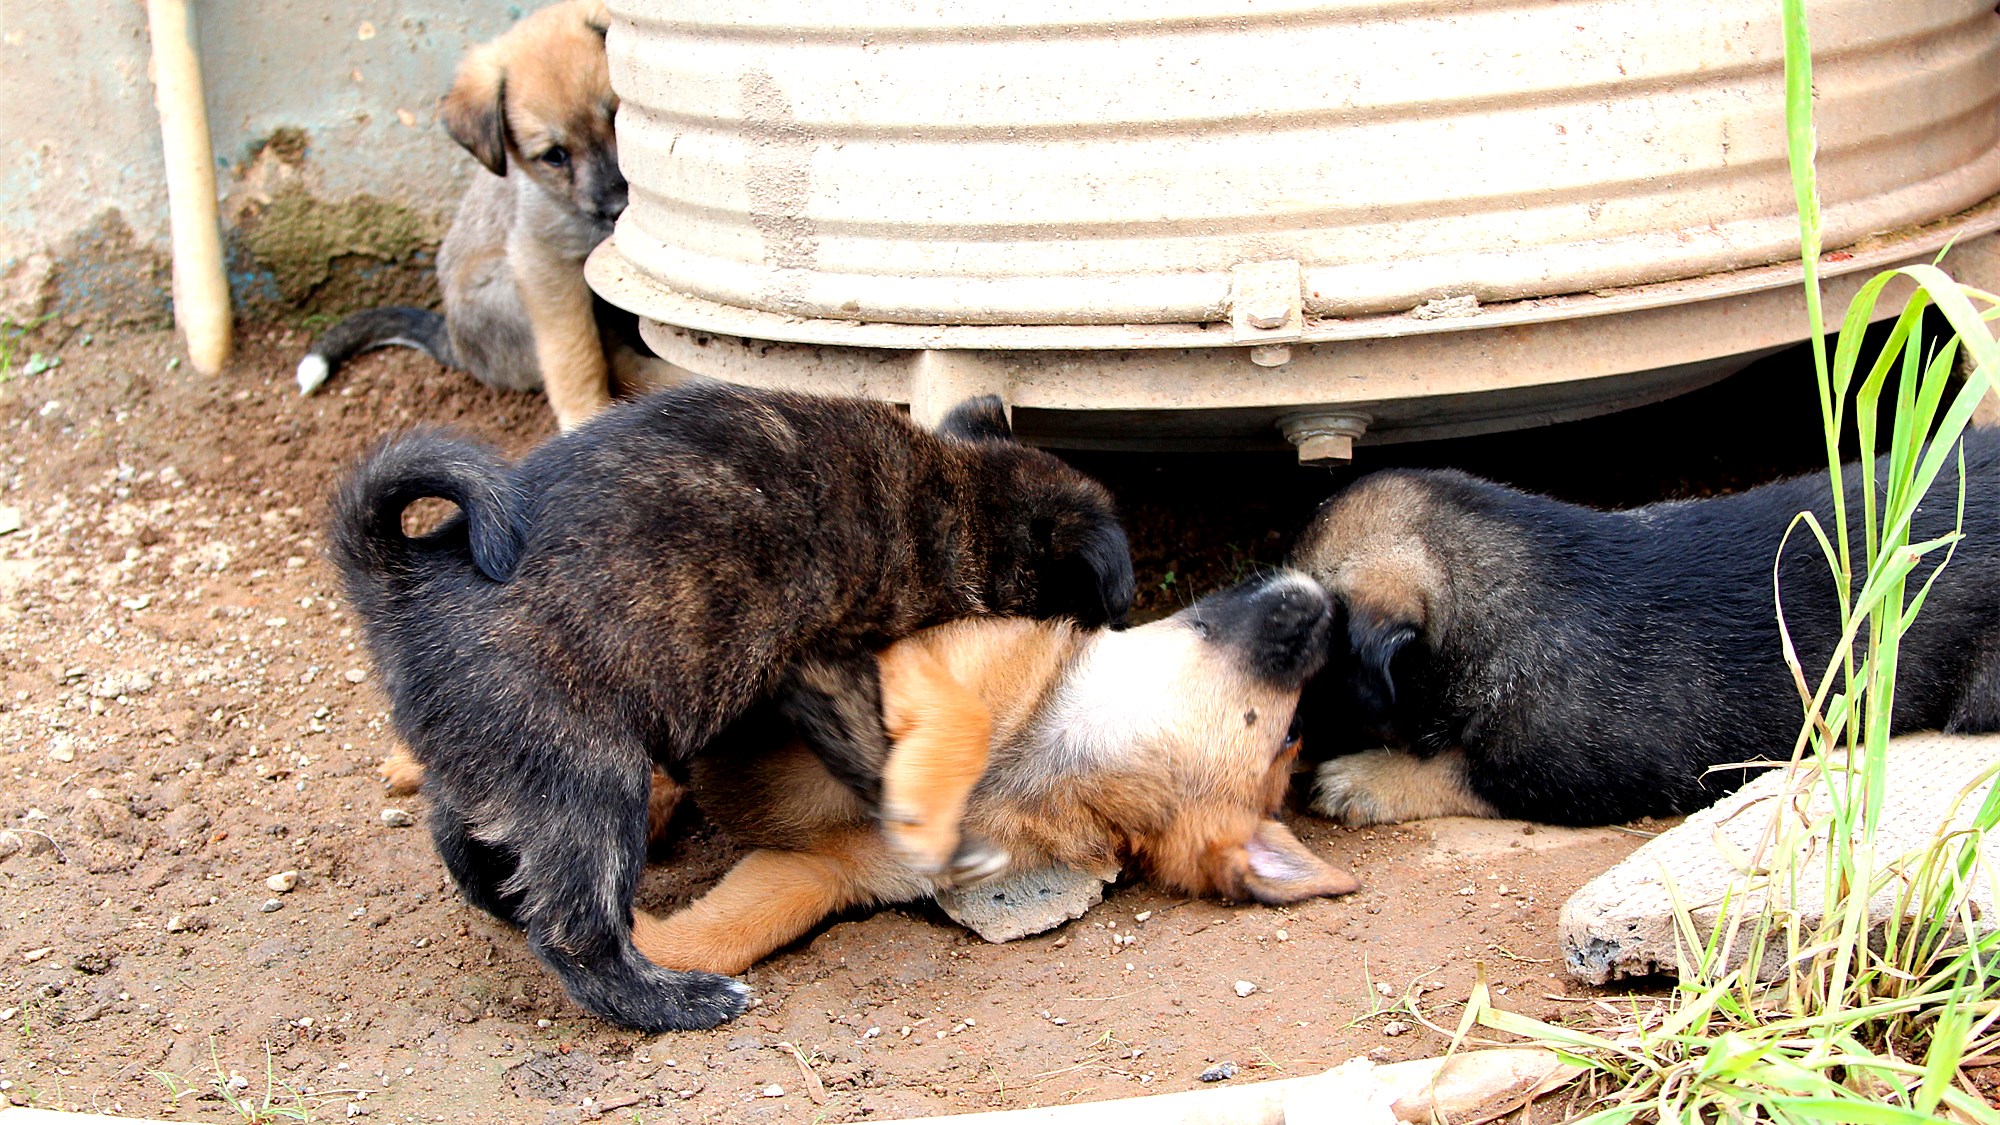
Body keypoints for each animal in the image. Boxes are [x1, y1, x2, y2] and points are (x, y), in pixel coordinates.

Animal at [296, 0, 672, 428]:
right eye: (554, 156)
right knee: (612, 357)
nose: (617, 208)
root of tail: (453, 343)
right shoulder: (543, 262)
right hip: (502, 287)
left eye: (617, 118)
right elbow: (573, 352)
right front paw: (583, 414)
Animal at [336, 380, 1136, 1032]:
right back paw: (676, 1002)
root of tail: (398, 581)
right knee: (572, 931)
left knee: (462, 840)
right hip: (589, 781)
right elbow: (872, 752)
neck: (953, 496)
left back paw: (505, 896)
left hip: (493, 757)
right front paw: (935, 830)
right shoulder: (826, 662)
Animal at [636, 568, 1360, 972]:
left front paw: (637, 935)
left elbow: (715, 940)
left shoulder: (817, 872)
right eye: (1296, 731)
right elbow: (965, 714)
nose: (1337, 602)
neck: (1036, 758)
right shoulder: (904, 648)